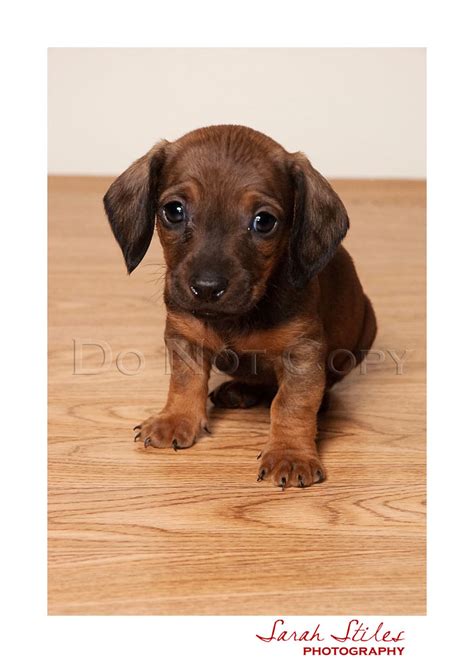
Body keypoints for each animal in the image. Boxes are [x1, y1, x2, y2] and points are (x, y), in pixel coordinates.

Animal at [103, 124, 374, 488]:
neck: (237, 318)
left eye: (264, 221)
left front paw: (290, 453)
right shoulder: (183, 334)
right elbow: (185, 382)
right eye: (174, 211)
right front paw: (176, 419)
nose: (206, 288)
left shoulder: (302, 352)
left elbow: (291, 404)